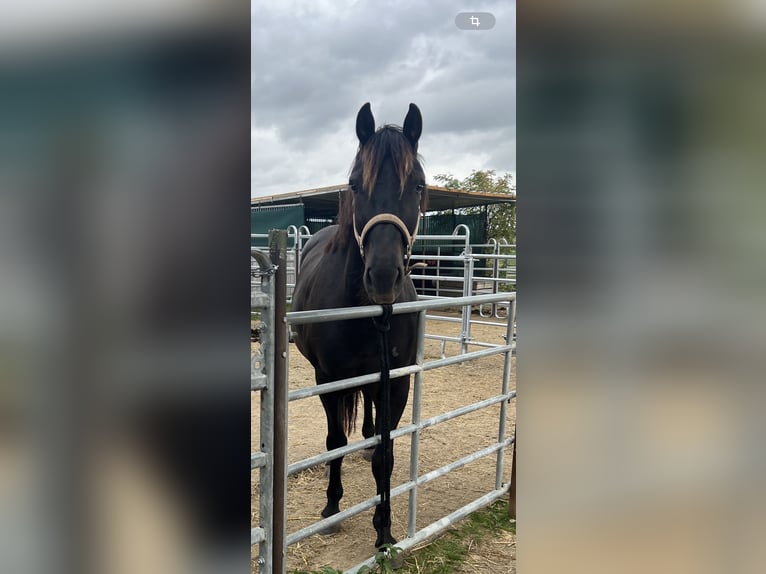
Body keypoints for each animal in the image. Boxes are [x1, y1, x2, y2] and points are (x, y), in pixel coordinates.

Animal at [292, 102, 428, 548]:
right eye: (354, 184)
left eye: (418, 186)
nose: (383, 277)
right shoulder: (328, 378)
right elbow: (335, 440)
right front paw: (332, 507)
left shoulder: (396, 379)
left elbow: (386, 452)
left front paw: (384, 528)